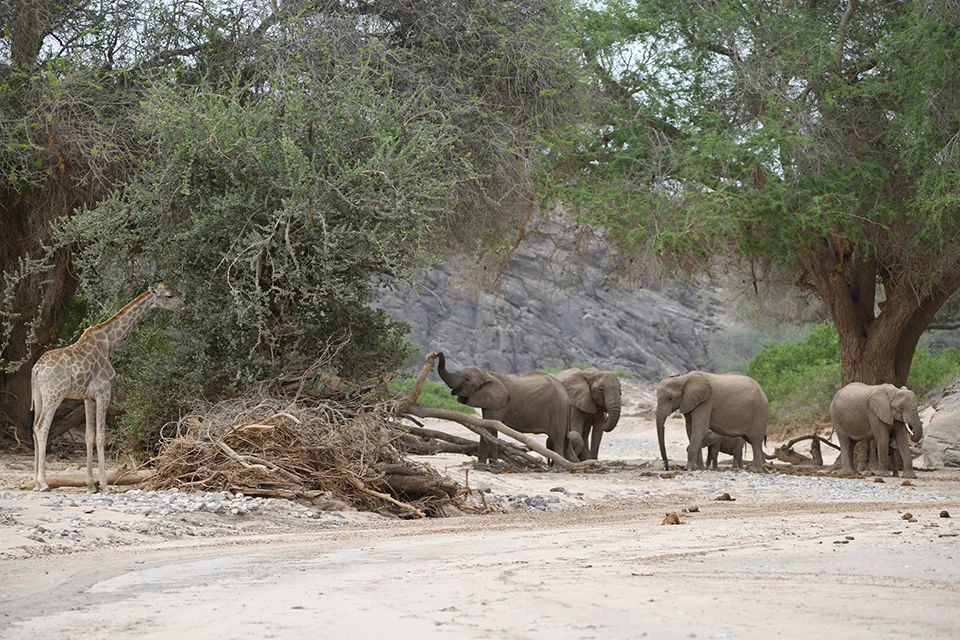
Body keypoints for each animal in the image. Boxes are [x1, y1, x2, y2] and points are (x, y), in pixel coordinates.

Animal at [30, 283, 182, 492]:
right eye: (169, 295)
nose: (184, 305)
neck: (109, 342)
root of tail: (36, 369)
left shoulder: (88, 398)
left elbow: (89, 436)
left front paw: (91, 486)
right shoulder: (104, 392)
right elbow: (101, 437)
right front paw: (104, 485)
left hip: (39, 396)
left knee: (34, 428)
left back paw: (36, 483)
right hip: (54, 395)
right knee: (42, 427)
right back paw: (44, 483)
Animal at [436, 353, 578, 464]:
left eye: (466, 379)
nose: (437, 354)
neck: (487, 374)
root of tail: (566, 395)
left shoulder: (500, 403)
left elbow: (489, 429)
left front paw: (480, 466)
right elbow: (491, 429)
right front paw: (493, 464)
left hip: (557, 410)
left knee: (557, 440)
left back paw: (558, 467)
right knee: (564, 443)